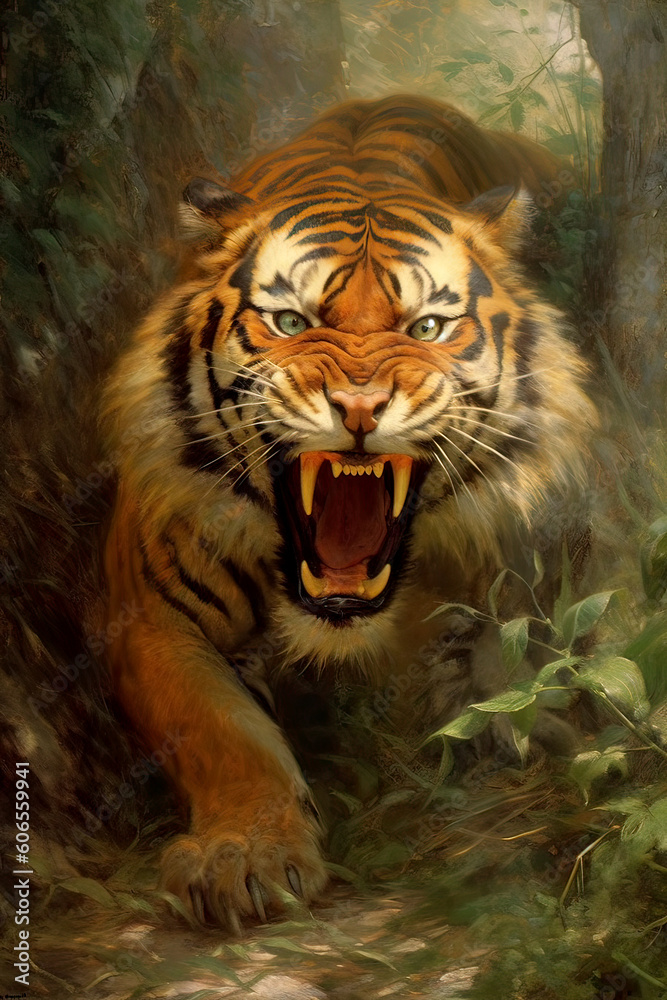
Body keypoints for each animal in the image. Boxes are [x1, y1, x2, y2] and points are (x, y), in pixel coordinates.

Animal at [102, 94, 597, 931]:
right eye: (291, 323)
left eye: (425, 327)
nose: (360, 407)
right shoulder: (150, 618)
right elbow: (220, 732)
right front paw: (244, 857)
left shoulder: (510, 572)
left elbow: (509, 669)